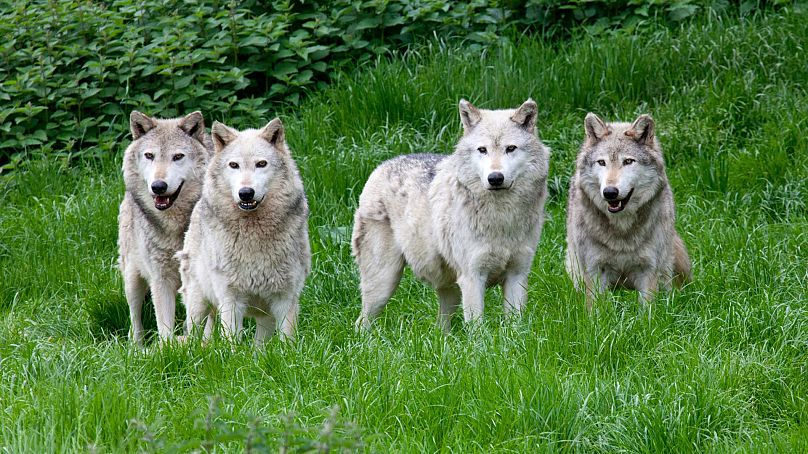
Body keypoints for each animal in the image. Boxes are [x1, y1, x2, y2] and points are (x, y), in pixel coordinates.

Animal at [117, 111, 213, 344]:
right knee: (135, 319)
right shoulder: (160, 279)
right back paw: (137, 347)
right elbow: (164, 326)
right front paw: (168, 349)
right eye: (149, 155)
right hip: (132, 279)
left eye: (177, 157)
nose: (158, 186)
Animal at [178, 119, 310, 342]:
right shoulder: (230, 299)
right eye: (234, 165)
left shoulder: (286, 298)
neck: (253, 233)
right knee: (193, 337)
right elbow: (232, 341)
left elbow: (287, 342)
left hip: (264, 318)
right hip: (198, 305)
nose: (246, 193)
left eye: (261, 164)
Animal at [352, 98, 548, 330]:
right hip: (383, 285)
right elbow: (477, 329)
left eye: (510, 148)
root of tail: (382, 165)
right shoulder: (472, 278)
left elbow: (515, 328)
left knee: (440, 327)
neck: (503, 217)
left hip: (449, 290)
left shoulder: (517, 276)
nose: (495, 178)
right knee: (361, 323)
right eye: (482, 150)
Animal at [564, 112, 692, 310]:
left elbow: (647, 311)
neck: (622, 230)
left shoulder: (648, 270)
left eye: (628, 161)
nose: (610, 192)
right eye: (602, 162)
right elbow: (595, 311)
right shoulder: (594, 270)